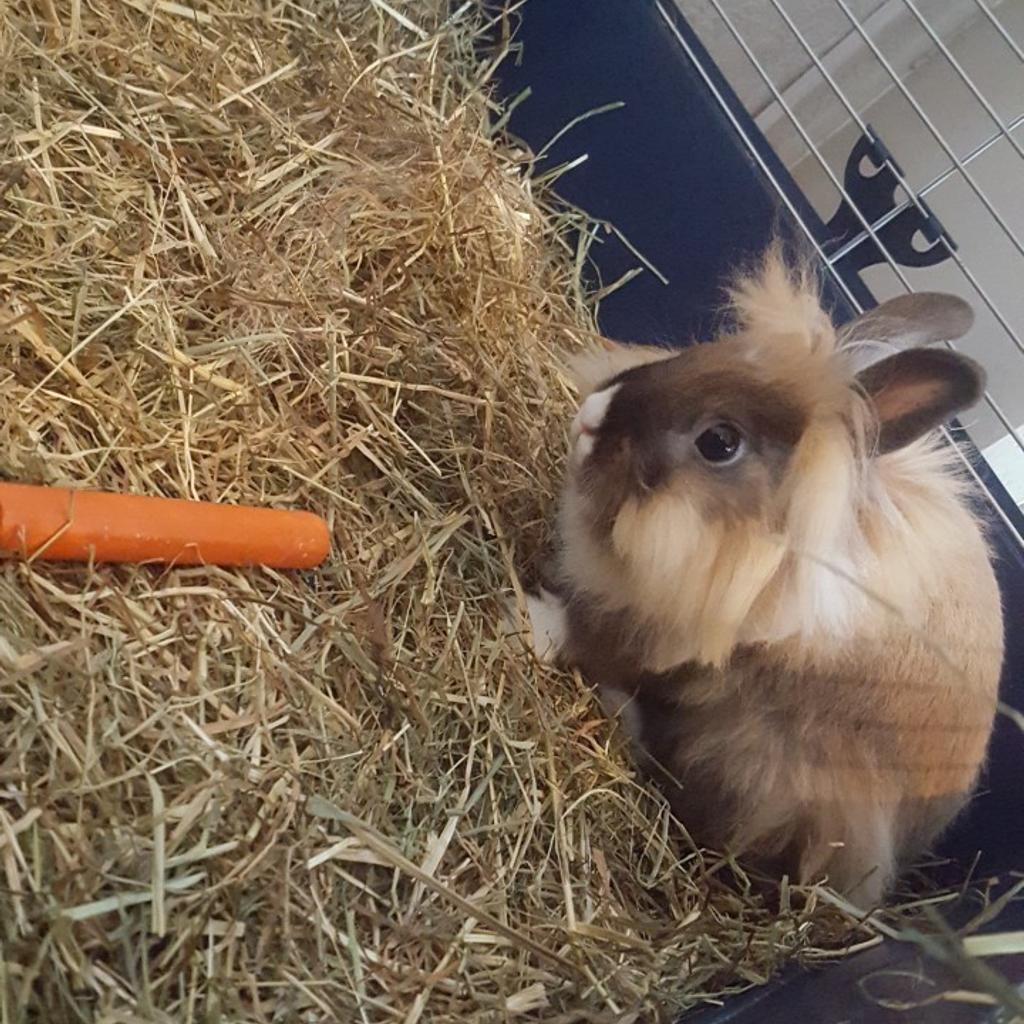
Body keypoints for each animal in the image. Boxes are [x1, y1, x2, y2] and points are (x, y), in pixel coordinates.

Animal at [521, 247, 1004, 909]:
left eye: (719, 442)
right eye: (705, 354)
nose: (589, 420)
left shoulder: (666, 645)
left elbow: (589, 639)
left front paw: (526, 619)